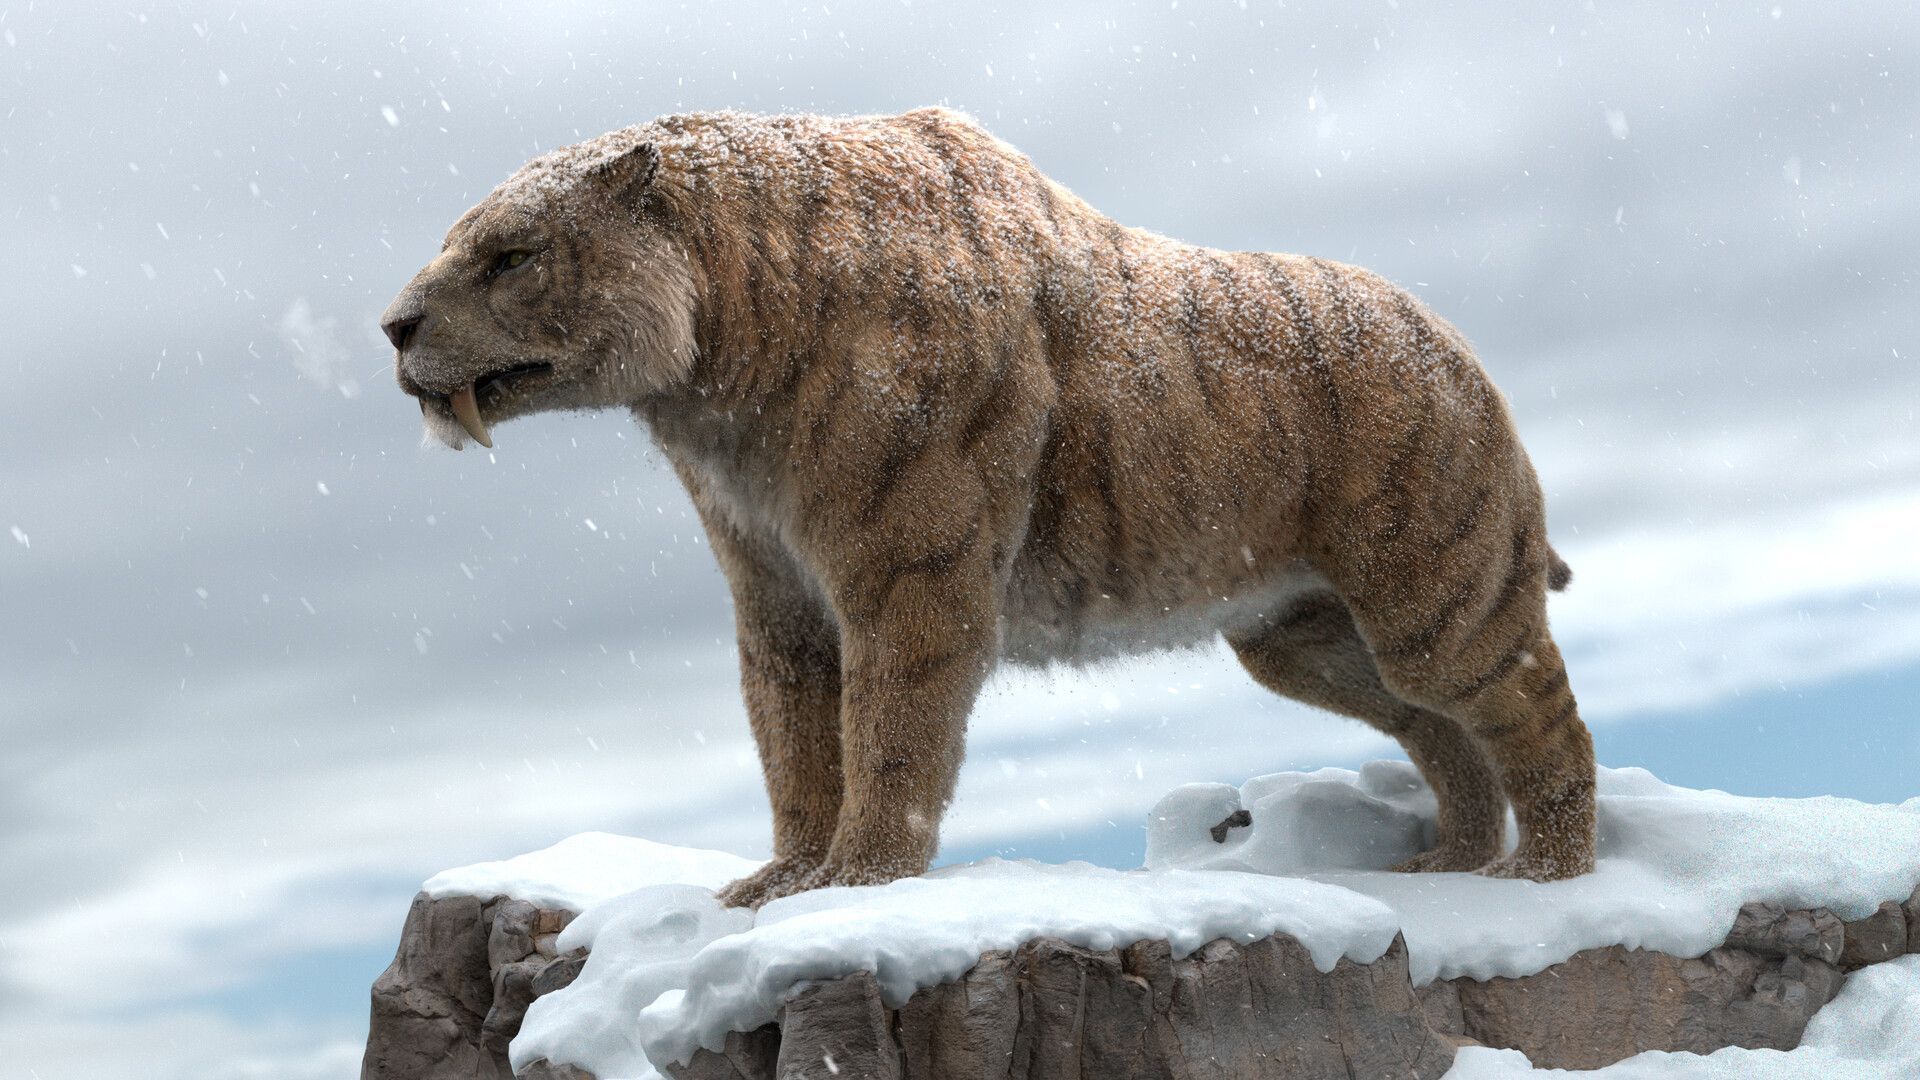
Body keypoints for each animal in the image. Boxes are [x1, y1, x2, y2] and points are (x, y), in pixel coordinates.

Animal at [380, 107, 1596, 907]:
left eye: (511, 255)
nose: (392, 326)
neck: (720, 382)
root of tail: (1465, 353)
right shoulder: (777, 595)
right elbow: (792, 745)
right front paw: (779, 883)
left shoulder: (906, 575)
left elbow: (890, 735)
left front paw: (859, 883)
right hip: (1306, 638)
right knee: (1438, 731)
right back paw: (1452, 869)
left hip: (1435, 599)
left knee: (1540, 714)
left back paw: (1544, 882)